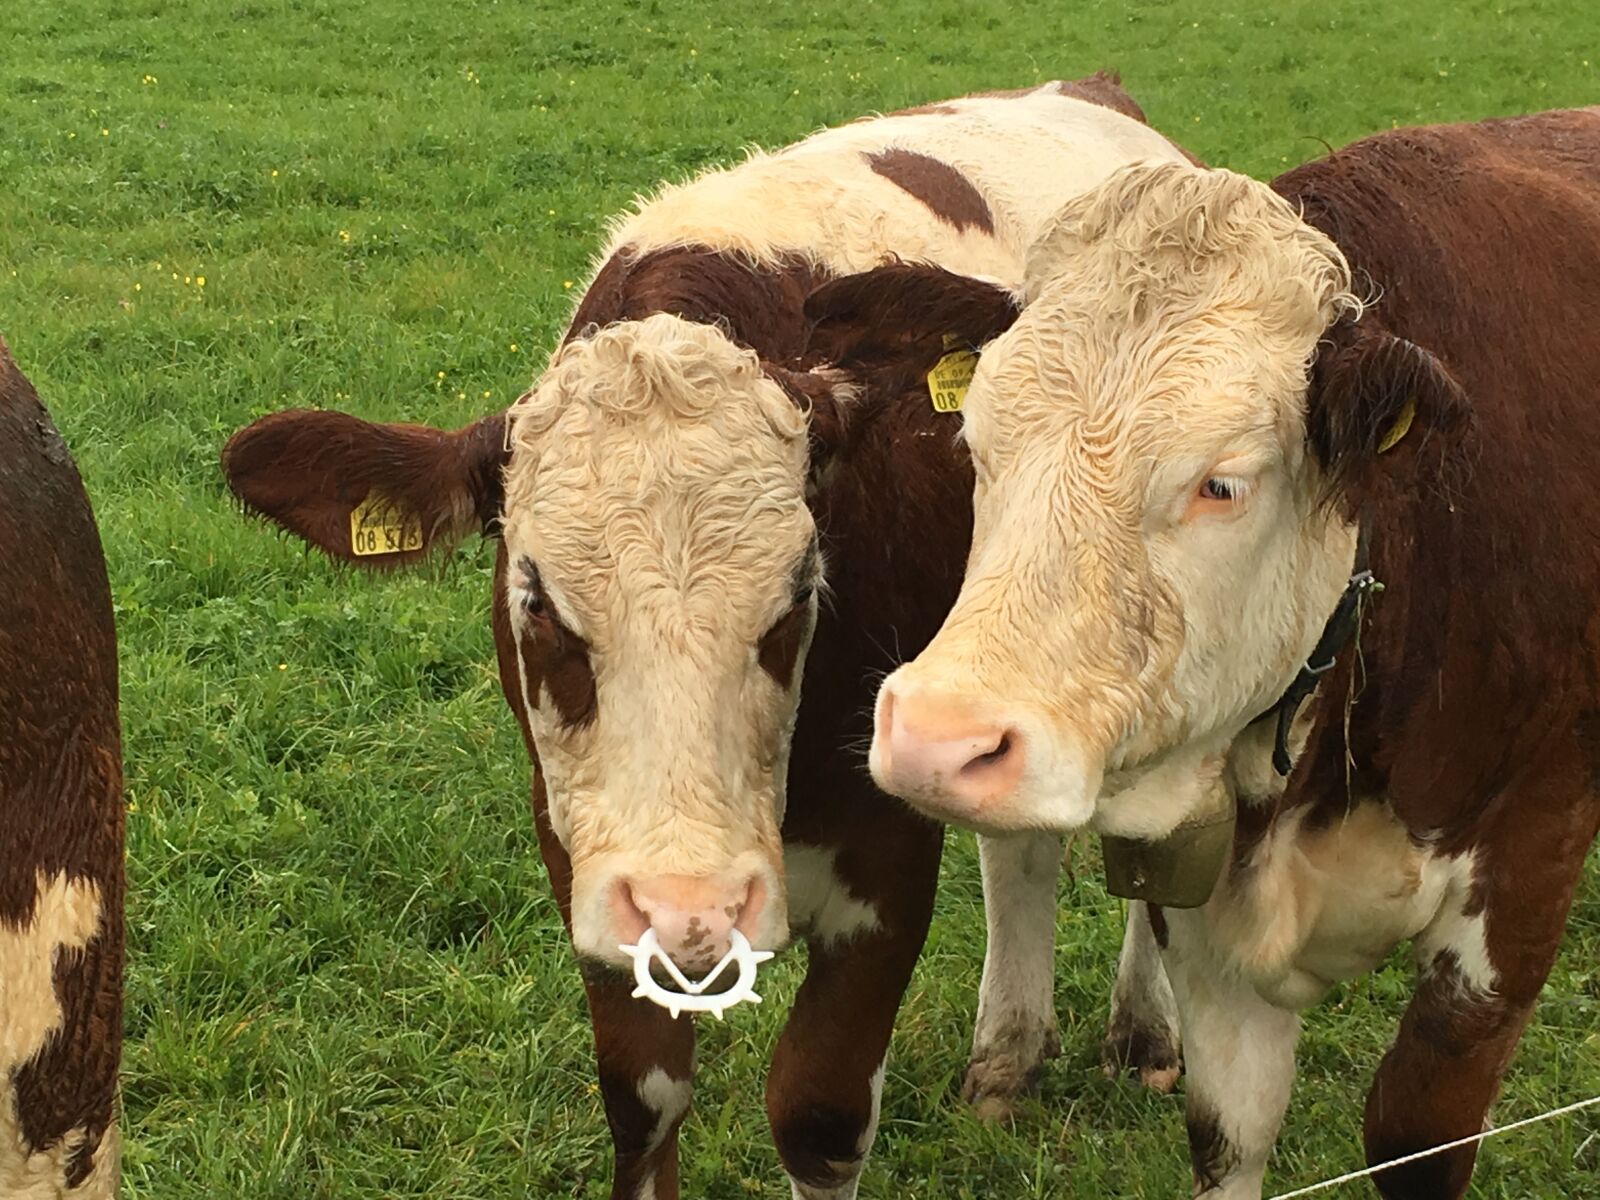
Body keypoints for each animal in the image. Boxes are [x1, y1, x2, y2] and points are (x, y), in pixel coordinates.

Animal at [221, 77, 1194, 1198]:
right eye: (536, 601)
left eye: (801, 590)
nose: (694, 905)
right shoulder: (583, 850)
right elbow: (643, 1103)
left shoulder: (888, 856)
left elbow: (817, 1111)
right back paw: (1005, 1059)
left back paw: (1144, 1033)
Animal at [864, 108, 1600, 1198]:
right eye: (975, 445)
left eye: (1222, 483)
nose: (935, 738)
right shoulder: (1206, 930)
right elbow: (1229, 1131)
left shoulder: (1523, 872)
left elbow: (1415, 1134)